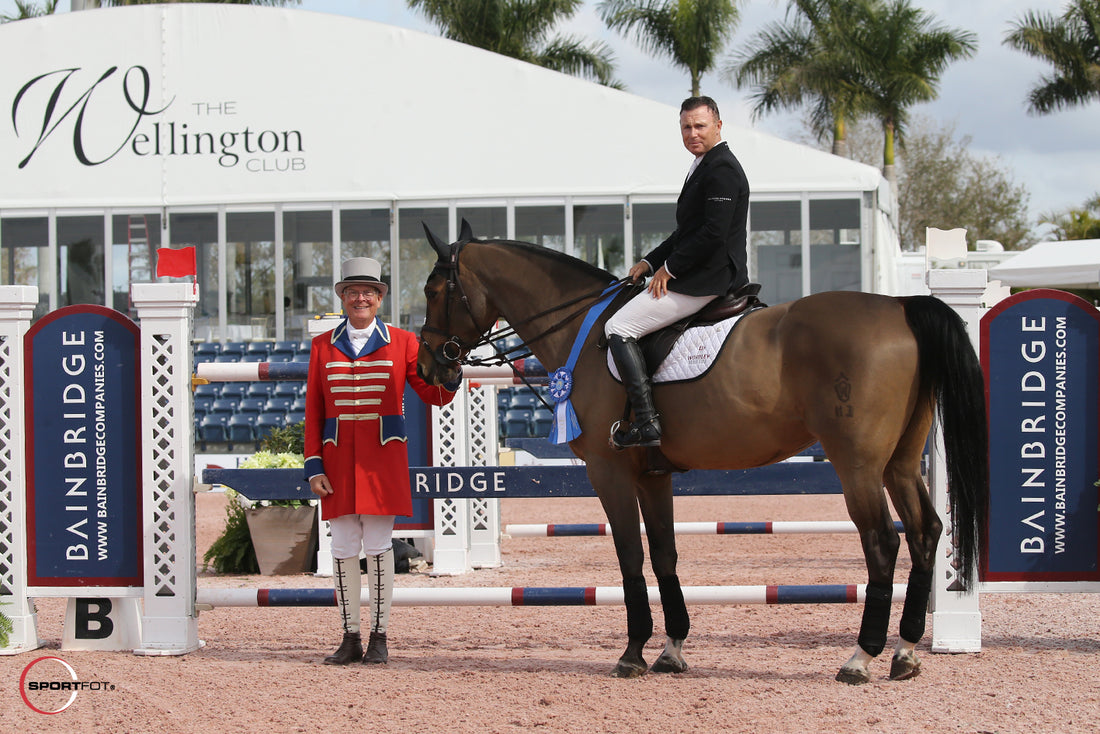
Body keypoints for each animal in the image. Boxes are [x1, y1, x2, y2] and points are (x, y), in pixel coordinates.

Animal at [413, 224, 990, 682]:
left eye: (434, 289)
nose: (430, 368)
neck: (582, 329)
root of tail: (900, 306)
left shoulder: (608, 471)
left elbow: (629, 555)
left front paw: (632, 652)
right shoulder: (653, 475)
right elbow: (665, 554)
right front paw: (671, 648)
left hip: (858, 465)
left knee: (882, 543)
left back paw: (861, 657)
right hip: (899, 463)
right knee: (925, 532)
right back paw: (905, 653)